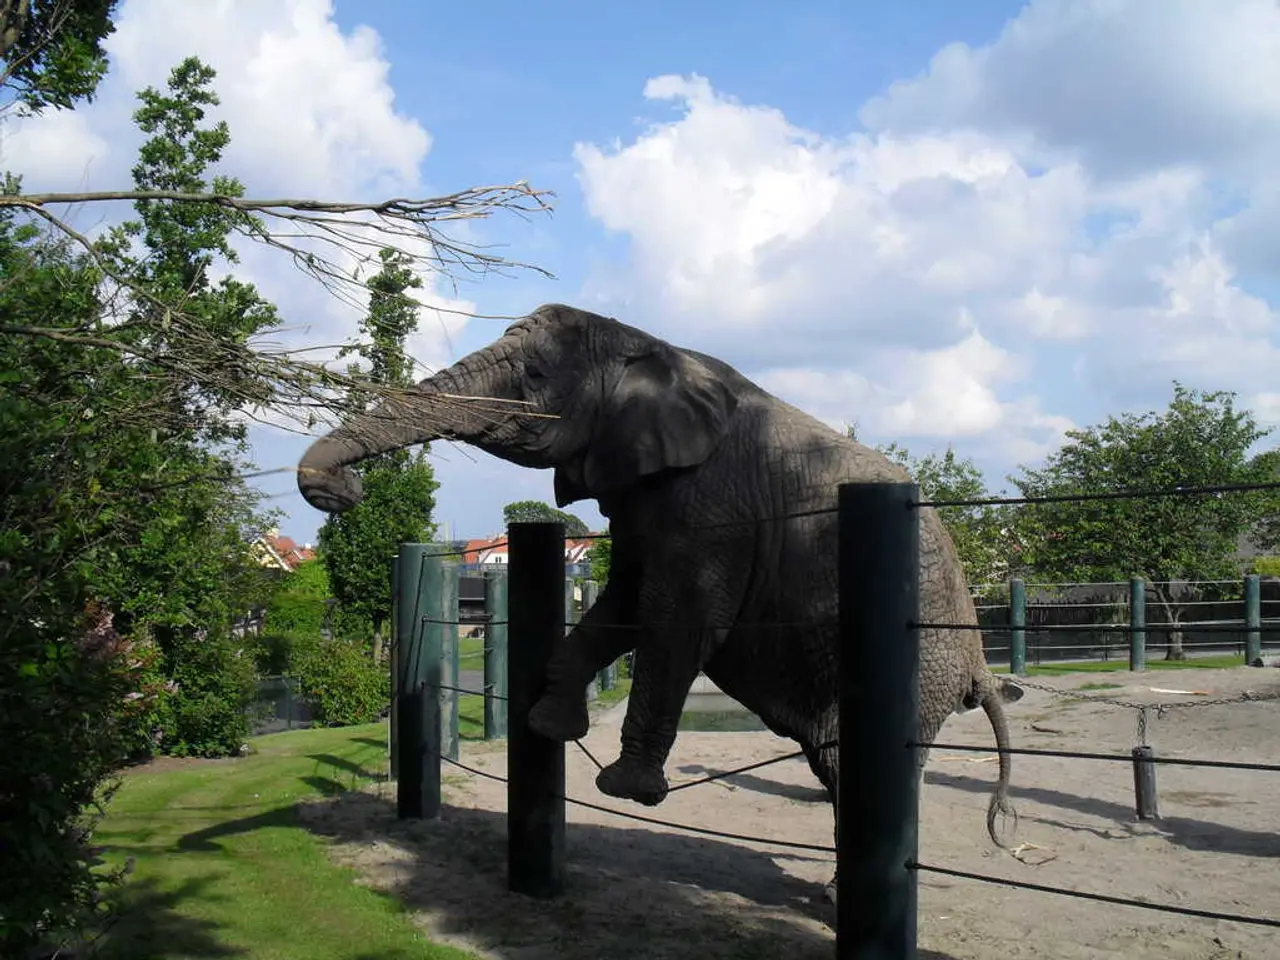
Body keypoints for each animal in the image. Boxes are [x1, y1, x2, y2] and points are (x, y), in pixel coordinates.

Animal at [296, 302, 1023, 905]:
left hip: (922, 659)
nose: (344, 492)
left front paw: (625, 790)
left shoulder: (713, 504)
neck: (654, 347)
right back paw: (828, 899)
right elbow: (624, 601)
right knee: (832, 762)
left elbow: (677, 617)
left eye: (534, 374)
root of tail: (979, 663)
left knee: (850, 764)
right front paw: (551, 725)